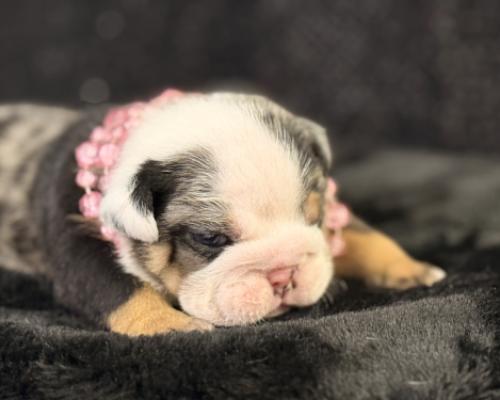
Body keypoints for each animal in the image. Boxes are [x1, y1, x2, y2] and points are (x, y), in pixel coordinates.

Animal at [0, 91, 446, 335]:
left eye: (315, 217)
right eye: (211, 239)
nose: (282, 275)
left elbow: (363, 233)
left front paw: (409, 267)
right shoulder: (74, 235)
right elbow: (116, 286)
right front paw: (169, 325)